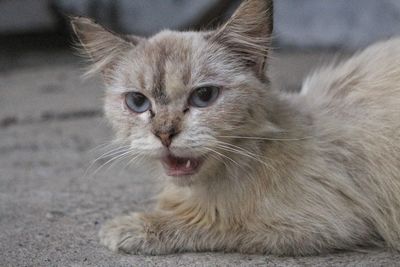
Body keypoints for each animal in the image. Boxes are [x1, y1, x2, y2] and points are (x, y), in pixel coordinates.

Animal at [70, 0, 400, 255]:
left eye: (204, 96)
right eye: (138, 102)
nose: (164, 134)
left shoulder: (322, 223)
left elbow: (214, 223)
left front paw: (132, 227)